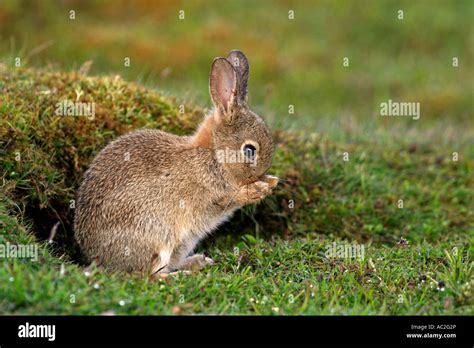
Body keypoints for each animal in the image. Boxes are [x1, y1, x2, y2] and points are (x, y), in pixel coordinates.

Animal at [73, 49, 278, 274]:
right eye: (250, 150)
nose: (262, 175)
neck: (214, 155)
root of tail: (98, 259)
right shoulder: (210, 196)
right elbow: (228, 199)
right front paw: (259, 189)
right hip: (157, 235)